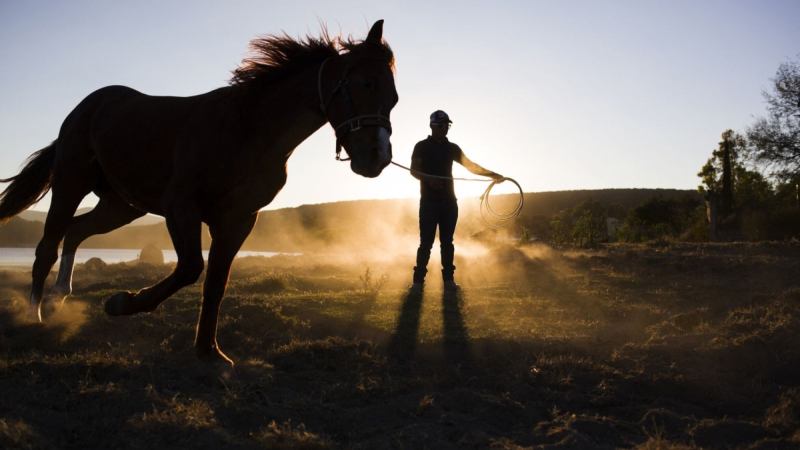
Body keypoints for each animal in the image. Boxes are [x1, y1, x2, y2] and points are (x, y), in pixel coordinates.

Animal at [0, 20, 398, 366]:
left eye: (393, 98)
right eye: (363, 83)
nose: (376, 157)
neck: (247, 131)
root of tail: (87, 107)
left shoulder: (239, 220)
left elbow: (216, 283)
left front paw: (210, 352)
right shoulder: (182, 208)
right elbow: (192, 267)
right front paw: (121, 303)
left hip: (122, 205)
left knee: (75, 231)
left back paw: (58, 299)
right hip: (71, 184)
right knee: (47, 246)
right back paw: (36, 313)